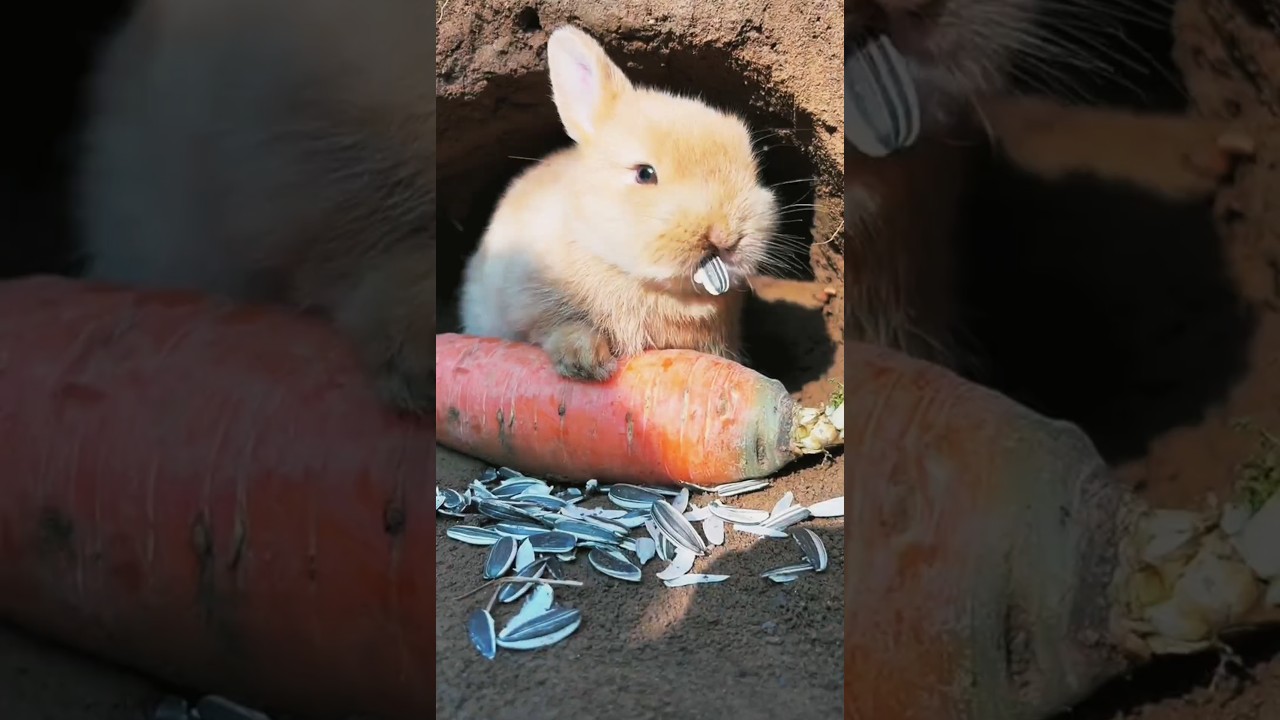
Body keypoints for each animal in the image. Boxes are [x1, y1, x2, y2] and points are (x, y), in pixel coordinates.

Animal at [457, 25, 781, 382]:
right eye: (644, 173)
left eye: (753, 171)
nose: (726, 236)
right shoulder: (531, 303)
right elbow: (559, 327)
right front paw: (587, 363)